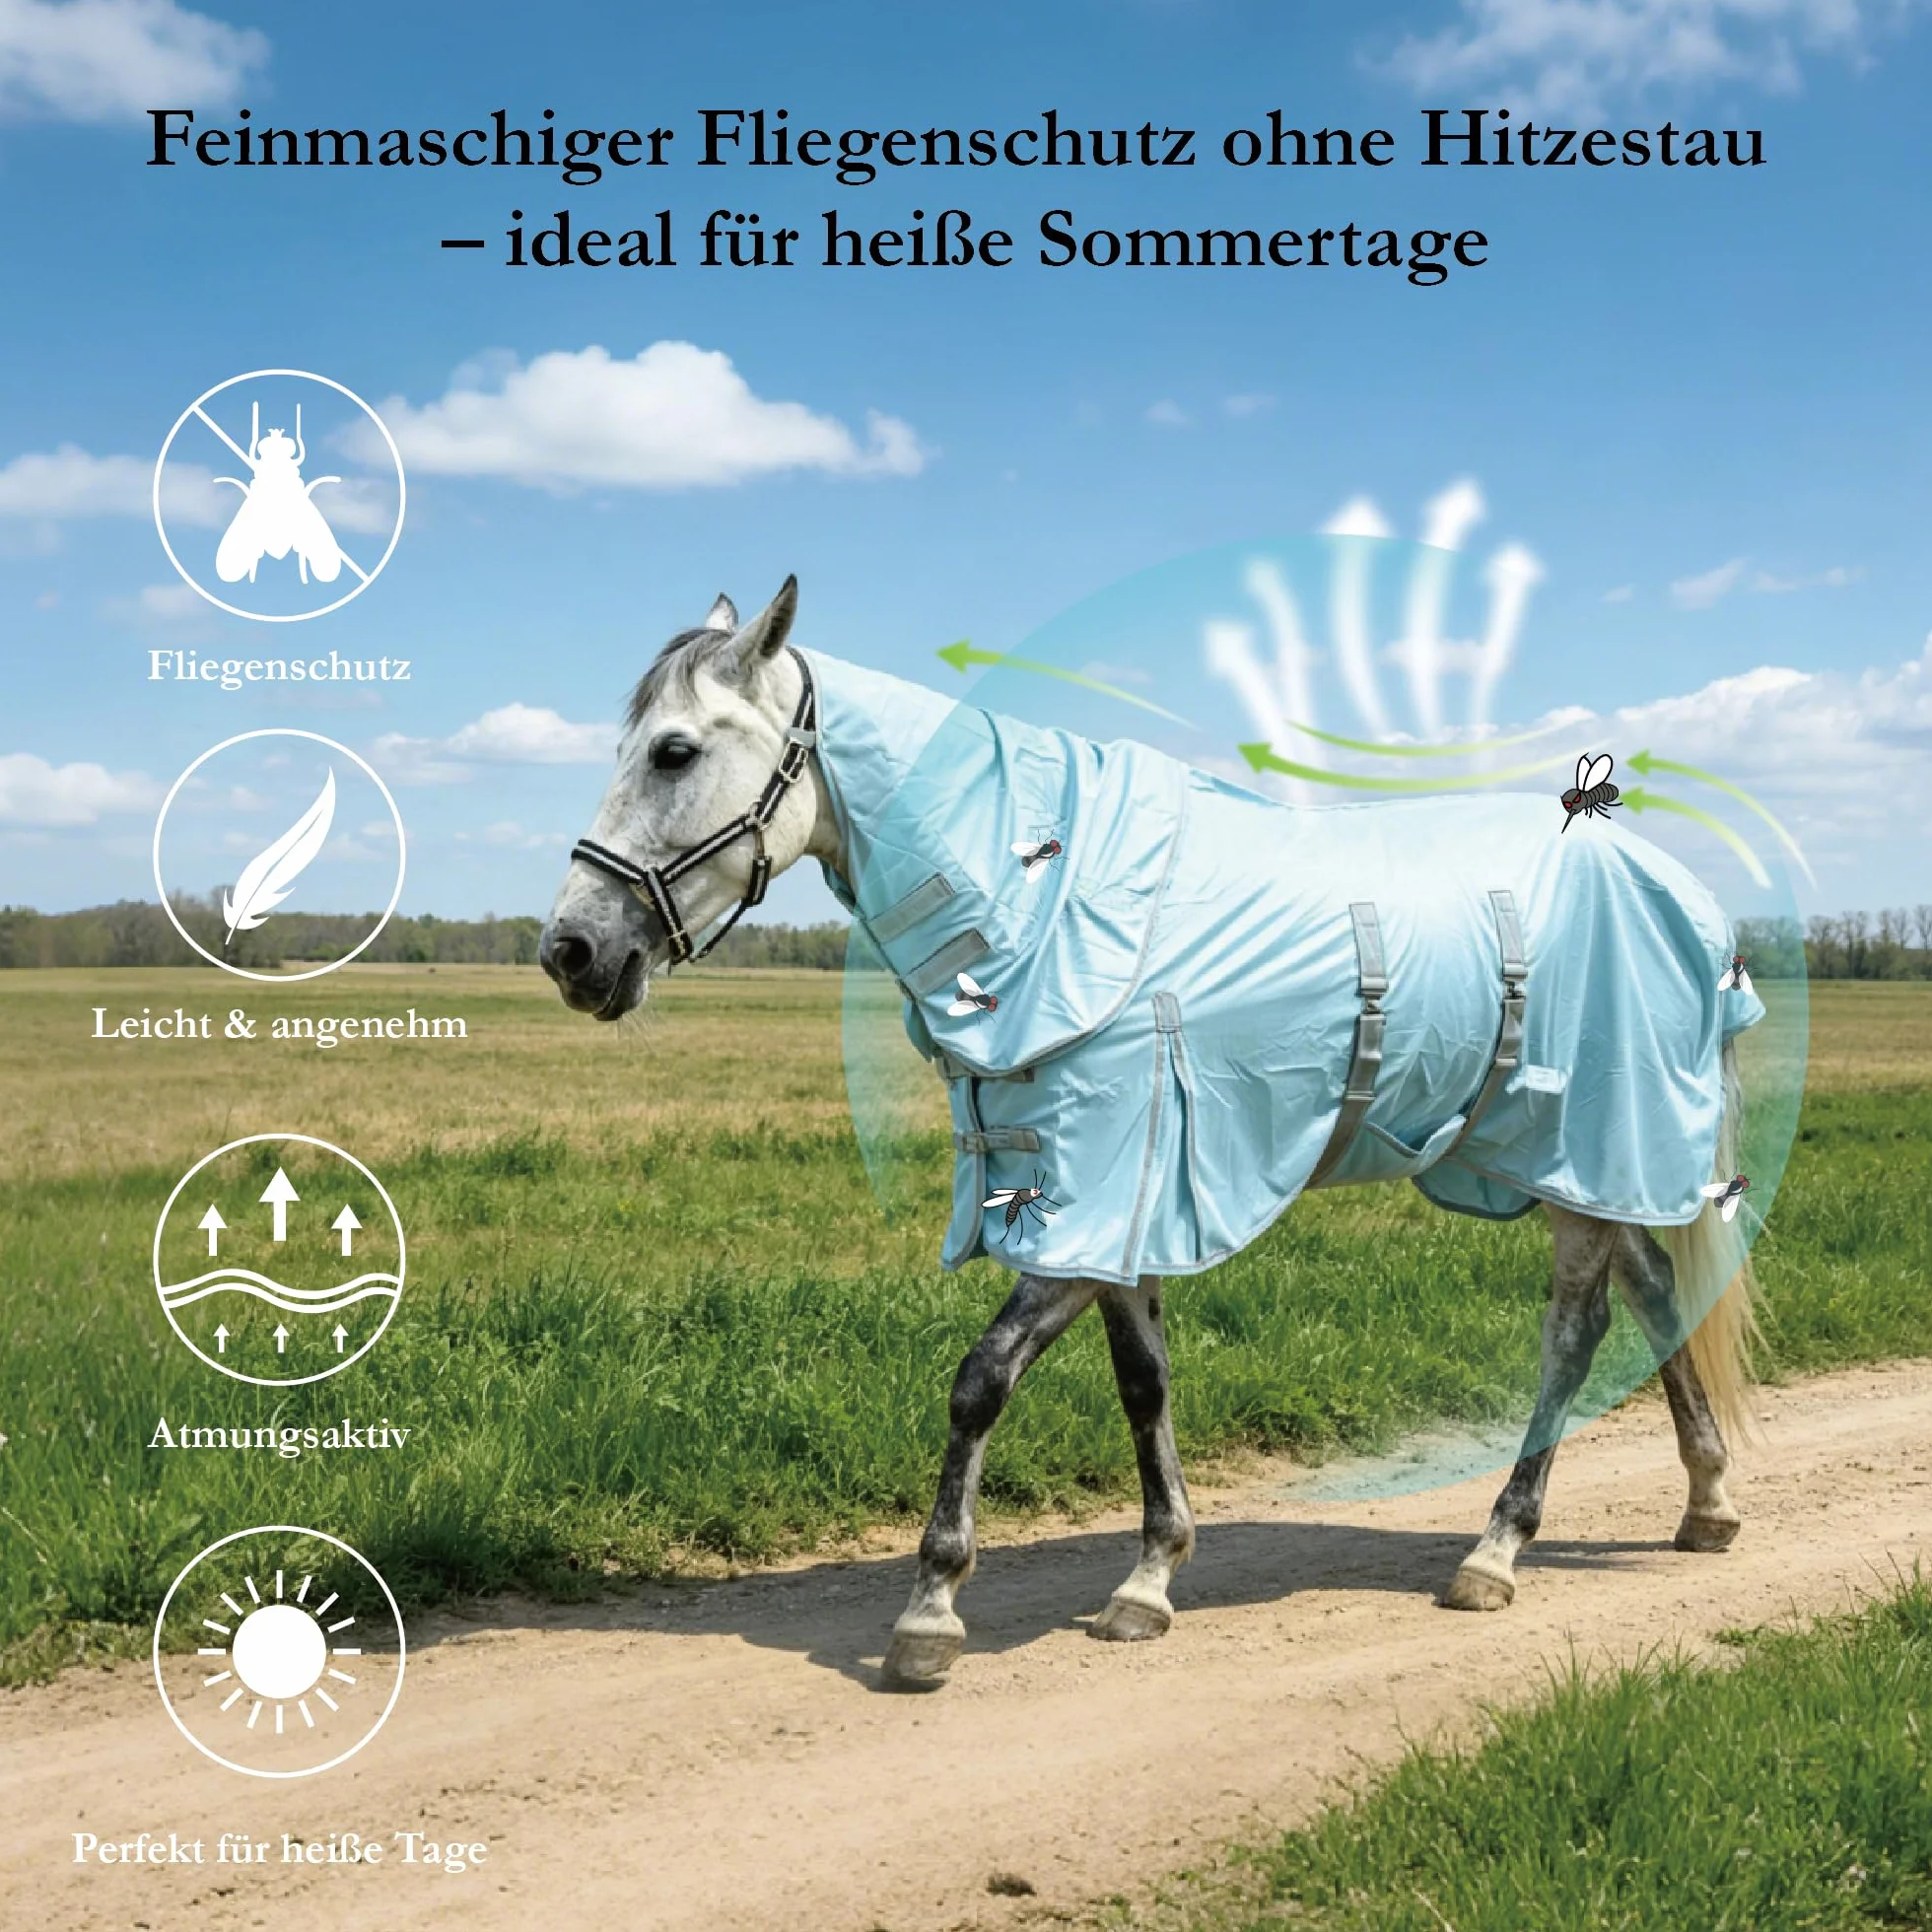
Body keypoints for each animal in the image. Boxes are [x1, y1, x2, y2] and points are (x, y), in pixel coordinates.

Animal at [541, 577, 1762, 1688]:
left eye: (674, 752)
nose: (572, 951)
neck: (1041, 899)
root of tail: (1677, 894)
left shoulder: (1095, 1190)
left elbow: (980, 1378)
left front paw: (933, 1607)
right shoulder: (1118, 1200)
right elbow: (1143, 1382)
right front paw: (1149, 1576)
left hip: (1590, 1141)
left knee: (1575, 1330)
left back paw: (1497, 1548)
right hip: (1564, 1157)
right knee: (1657, 1287)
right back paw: (1706, 1499)